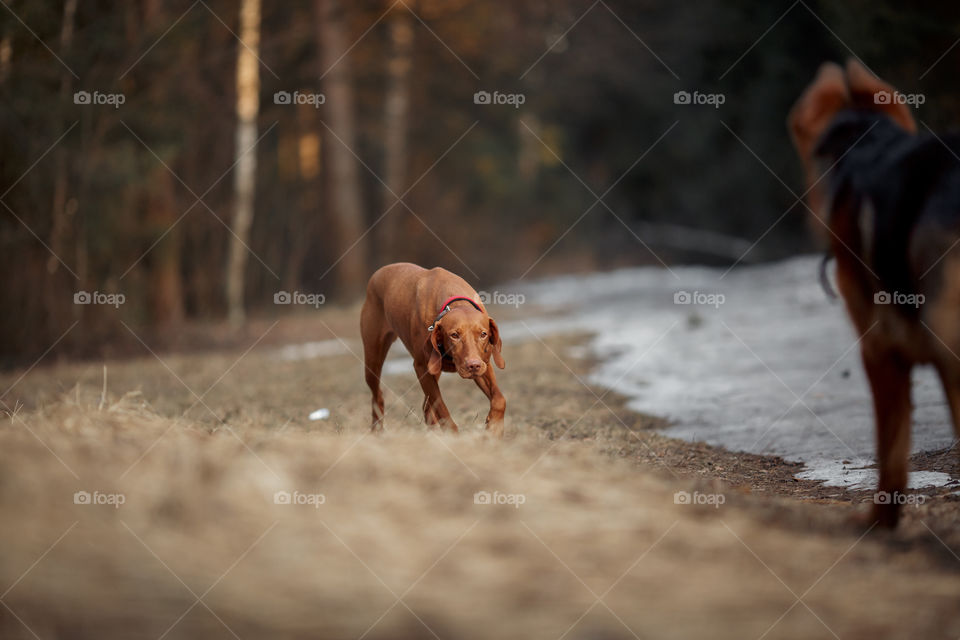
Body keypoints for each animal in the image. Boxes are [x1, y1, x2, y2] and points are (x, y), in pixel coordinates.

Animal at [360, 262, 506, 438]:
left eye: (483, 334)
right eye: (454, 335)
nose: (473, 365)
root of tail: (379, 272)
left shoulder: (484, 365)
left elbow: (499, 399)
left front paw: (493, 428)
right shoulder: (422, 368)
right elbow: (441, 409)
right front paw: (454, 437)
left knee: (426, 407)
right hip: (373, 360)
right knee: (378, 396)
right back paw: (377, 430)